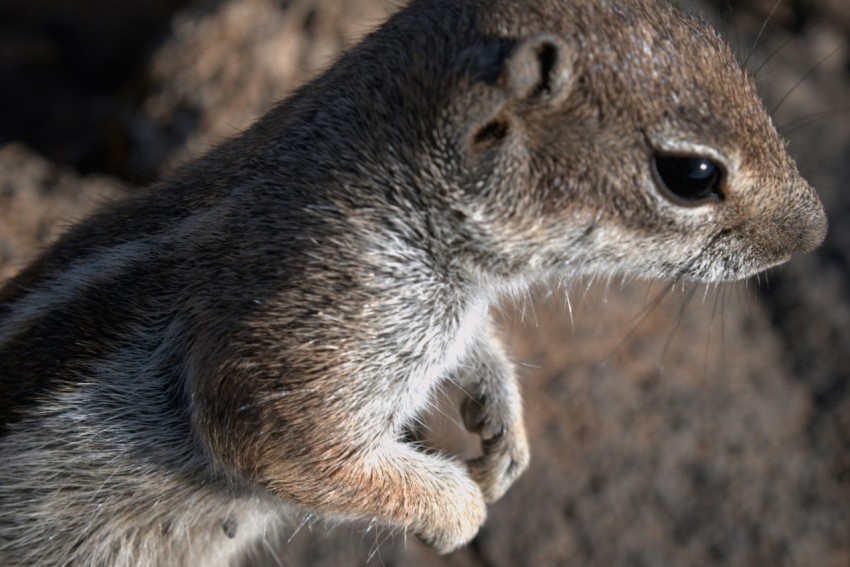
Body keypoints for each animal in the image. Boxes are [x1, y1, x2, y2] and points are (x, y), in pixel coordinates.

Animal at [0, 0, 820, 564]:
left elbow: (480, 350)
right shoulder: (310, 324)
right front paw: (459, 510)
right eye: (692, 174)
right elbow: (288, 445)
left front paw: (503, 427)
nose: (814, 232)